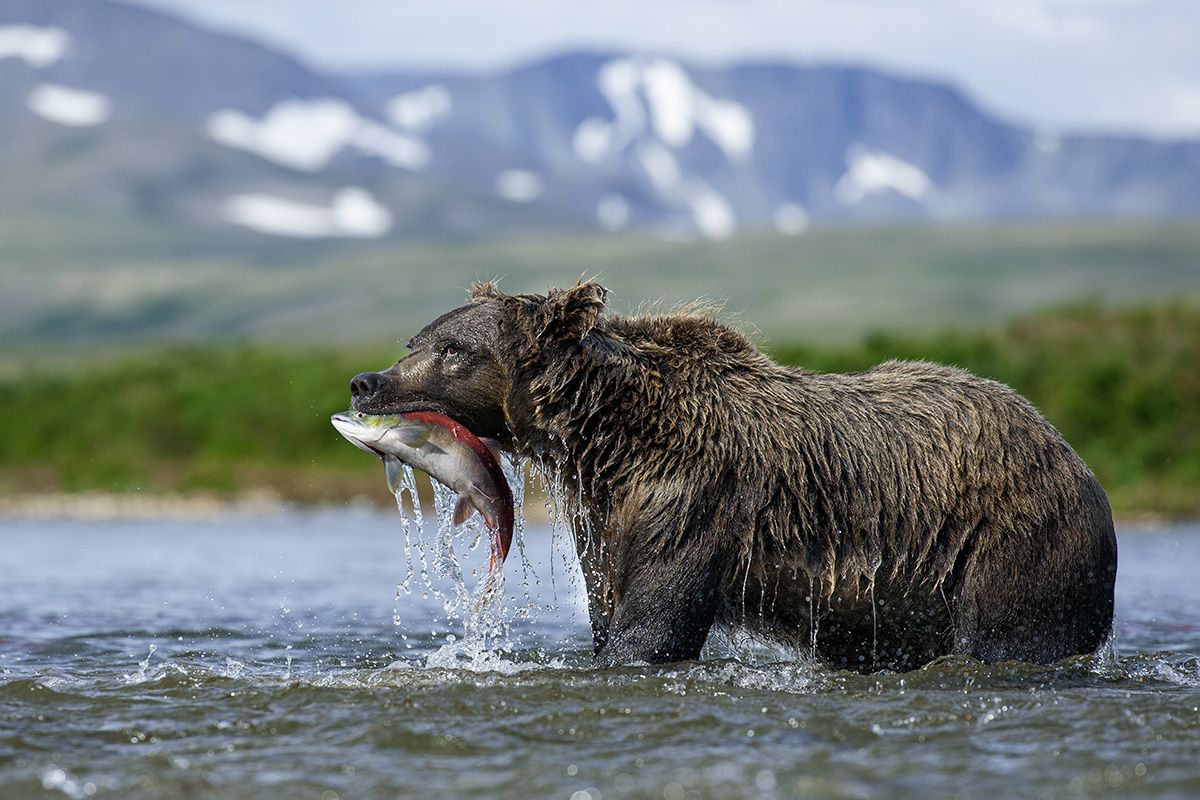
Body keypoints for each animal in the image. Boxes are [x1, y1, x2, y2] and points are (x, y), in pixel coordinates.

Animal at [348, 283, 1113, 676]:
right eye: (418, 339)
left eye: (453, 349)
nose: (367, 381)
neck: (609, 439)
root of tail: (1074, 456)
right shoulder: (606, 513)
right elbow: (610, 608)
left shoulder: (693, 499)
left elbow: (652, 626)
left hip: (1009, 547)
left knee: (1012, 639)